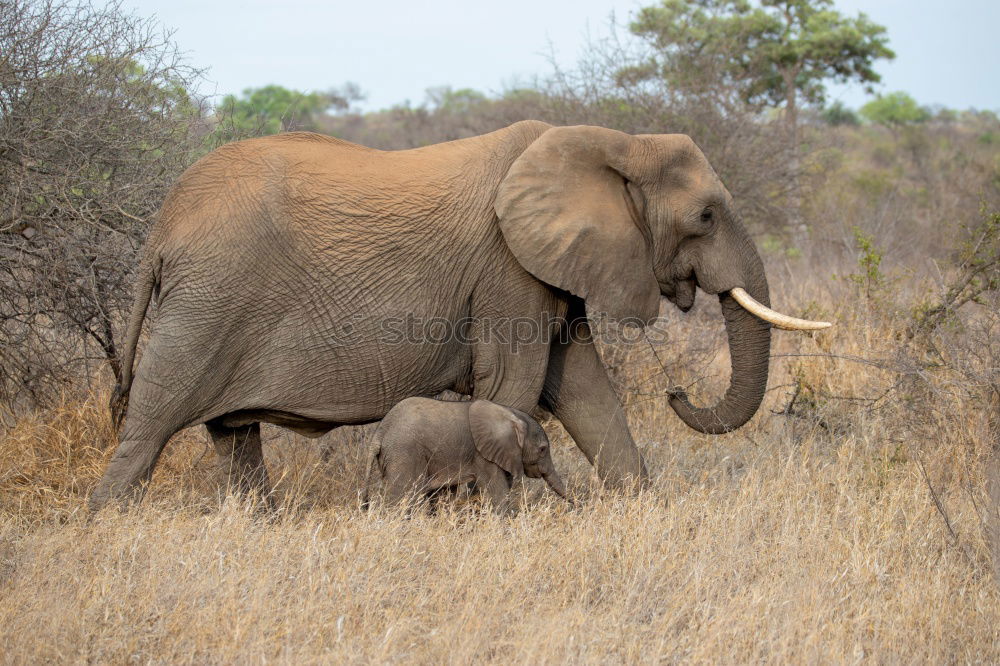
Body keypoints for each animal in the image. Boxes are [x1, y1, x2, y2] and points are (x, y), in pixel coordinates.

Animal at [366, 396, 572, 510]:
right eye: (542, 449)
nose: (576, 505)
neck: (510, 414)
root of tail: (379, 433)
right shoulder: (484, 455)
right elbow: (498, 492)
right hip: (404, 453)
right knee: (404, 496)